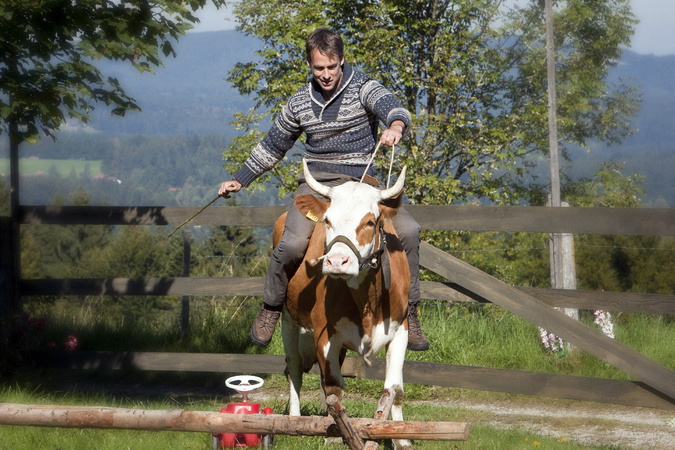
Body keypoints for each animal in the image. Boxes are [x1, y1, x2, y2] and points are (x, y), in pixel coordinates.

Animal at [276, 158, 412, 446]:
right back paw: (294, 420)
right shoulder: (325, 336)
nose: (337, 262)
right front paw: (335, 435)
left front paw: (400, 437)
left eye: (370, 222)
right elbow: (334, 388)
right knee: (294, 368)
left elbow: (394, 388)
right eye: (327, 220)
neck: (367, 301)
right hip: (288, 319)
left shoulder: (401, 330)